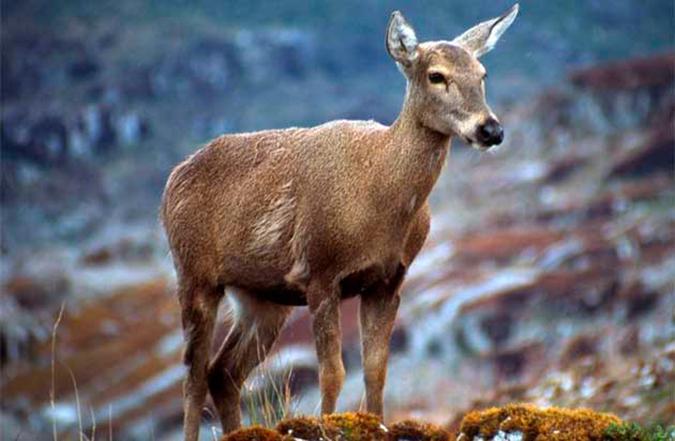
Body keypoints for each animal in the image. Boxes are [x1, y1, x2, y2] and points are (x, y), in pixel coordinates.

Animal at [161, 4, 520, 440]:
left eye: (482, 74)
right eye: (436, 75)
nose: (490, 129)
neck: (378, 197)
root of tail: (173, 178)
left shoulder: (388, 280)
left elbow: (376, 370)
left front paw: (377, 423)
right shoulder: (319, 271)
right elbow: (332, 373)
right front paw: (327, 425)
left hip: (262, 298)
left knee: (224, 372)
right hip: (193, 273)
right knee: (194, 377)